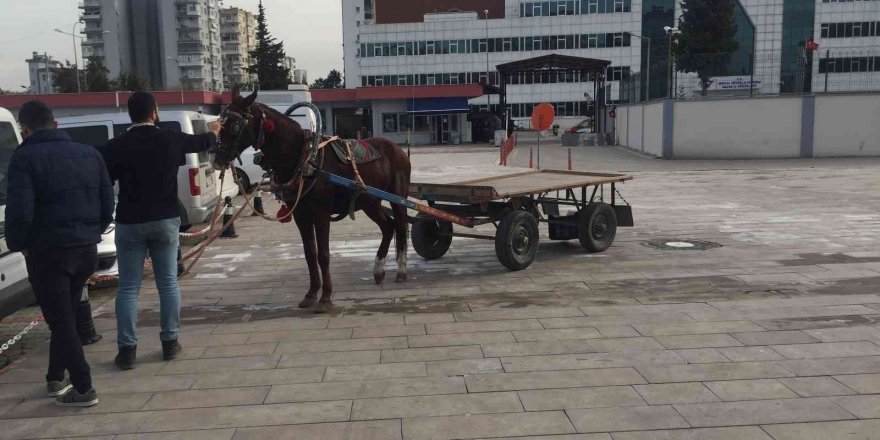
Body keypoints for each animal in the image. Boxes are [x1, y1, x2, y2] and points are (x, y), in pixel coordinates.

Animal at [215, 86, 414, 312]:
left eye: (236, 125)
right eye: (221, 121)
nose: (217, 157)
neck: (304, 158)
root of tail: (398, 149)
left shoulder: (321, 214)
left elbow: (324, 255)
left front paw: (325, 297)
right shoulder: (301, 215)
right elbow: (310, 254)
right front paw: (311, 294)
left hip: (398, 197)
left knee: (400, 226)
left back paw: (401, 270)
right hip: (369, 201)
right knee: (388, 226)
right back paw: (378, 270)